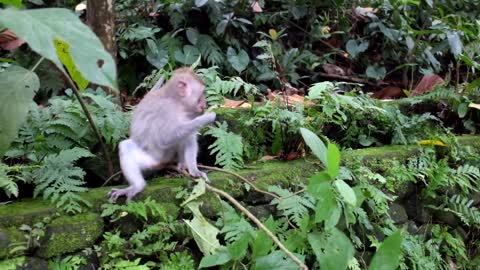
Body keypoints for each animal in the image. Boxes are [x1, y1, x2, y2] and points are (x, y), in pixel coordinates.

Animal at [109, 68, 216, 202]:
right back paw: (137, 186)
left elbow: (188, 137)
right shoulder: (166, 111)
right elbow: (164, 139)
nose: (205, 103)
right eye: (202, 93)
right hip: (152, 161)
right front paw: (207, 118)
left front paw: (194, 171)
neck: (177, 103)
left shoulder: (187, 115)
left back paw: (182, 165)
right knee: (126, 146)